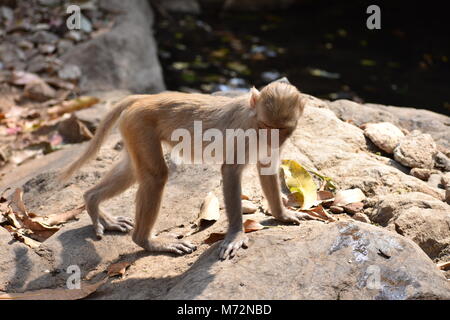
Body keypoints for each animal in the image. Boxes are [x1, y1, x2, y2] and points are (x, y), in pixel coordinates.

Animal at [60, 82, 316, 260]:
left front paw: (282, 214)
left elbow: (266, 167)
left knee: (133, 170)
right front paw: (235, 235)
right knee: (155, 176)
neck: (253, 119)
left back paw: (93, 201)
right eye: (265, 126)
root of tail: (146, 98)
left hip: (133, 127)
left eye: (282, 130)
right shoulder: (243, 132)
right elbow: (231, 172)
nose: (270, 139)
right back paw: (146, 241)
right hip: (139, 123)